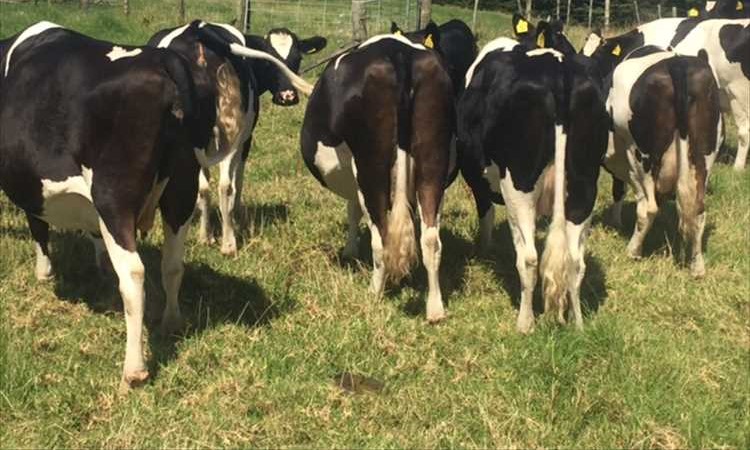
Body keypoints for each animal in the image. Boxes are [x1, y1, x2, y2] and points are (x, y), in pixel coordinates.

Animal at [149, 23, 326, 255]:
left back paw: (208, 237)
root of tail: (196, 31)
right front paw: (239, 219)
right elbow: (238, 181)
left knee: (208, 187)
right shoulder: (245, 140)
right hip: (232, 137)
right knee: (226, 185)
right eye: (268, 61)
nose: (287, 96)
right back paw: (228, 242)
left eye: (298, 58)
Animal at [300, 33, 454, 322]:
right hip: (434, 162)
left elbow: (353, 211)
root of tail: (399, 52)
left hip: (370, 167)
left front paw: (349, 250)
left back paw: (374, 294)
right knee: (431, 239)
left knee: (382, 236)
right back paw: (435, 308)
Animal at [457, 33, 610, 332]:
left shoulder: (477, 177)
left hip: (519, 186)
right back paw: (577, 324)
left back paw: (525, 323)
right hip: (585, 185)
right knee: (575, 262)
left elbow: (486, 213)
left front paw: (483, 250)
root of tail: (559, 71)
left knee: (529, 258)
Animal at [599, 46, 722, 277]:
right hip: (705, 157)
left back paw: (633, 251)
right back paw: (697, 267)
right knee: (697, 212)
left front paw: (615, 222)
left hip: (641, 157)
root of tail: (678, 64)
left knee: (648, 208)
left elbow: (618, 190)